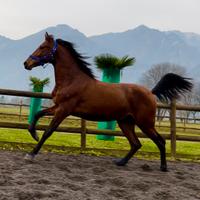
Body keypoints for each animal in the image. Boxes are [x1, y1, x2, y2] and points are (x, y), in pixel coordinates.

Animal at [23, 32, 192, 170]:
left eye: (42, 47)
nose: (26, 64)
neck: (72, 80)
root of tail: (150, 93)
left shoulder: (64, 109)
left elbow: (48, 132)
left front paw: (31, 154)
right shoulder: (57, 106)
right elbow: (38, 114)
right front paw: (33, 134)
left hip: (145, 123)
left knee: (160, 141)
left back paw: (163, 167)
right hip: (125, 122)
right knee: (136, 143)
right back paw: (121, 162)